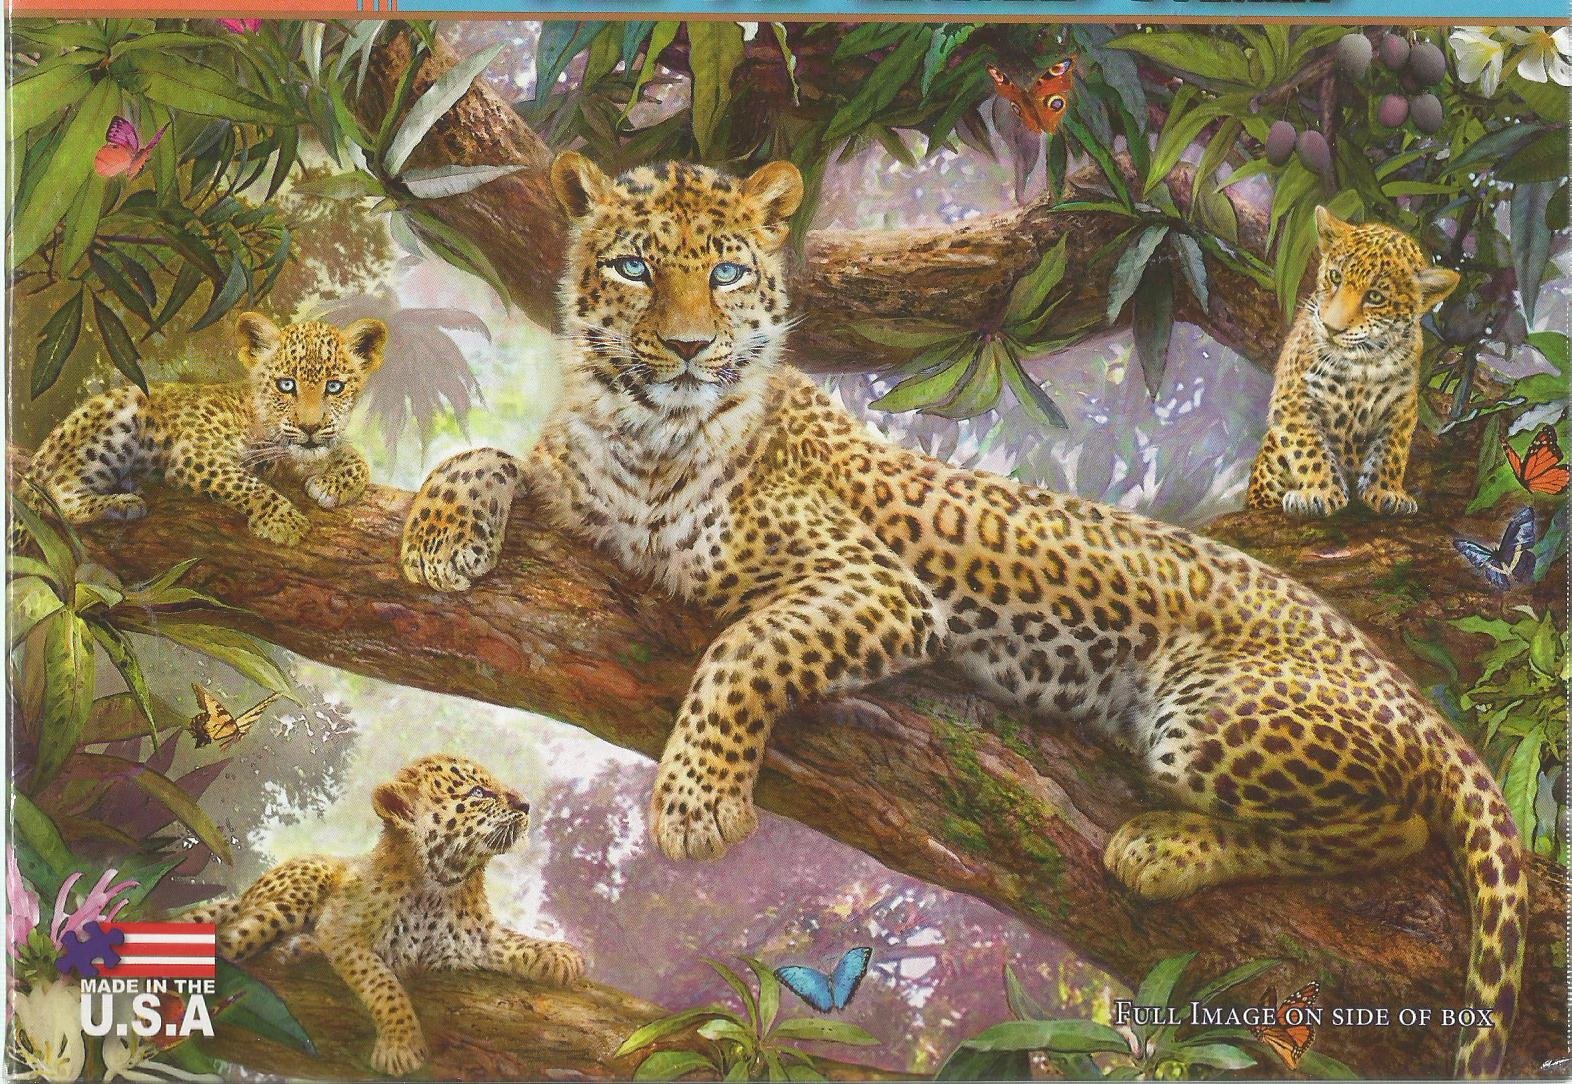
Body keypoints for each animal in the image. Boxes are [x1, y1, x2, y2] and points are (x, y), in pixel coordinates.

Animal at [17, 312, 386, 546]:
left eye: (334, 387)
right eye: (286, 385)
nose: (310, 426)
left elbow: (351, 456)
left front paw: (331, 484)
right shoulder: (196, 453)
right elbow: (247, 483)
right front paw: (284, 522)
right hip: (115, 422)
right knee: (60, 492)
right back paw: (121, 503)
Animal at [181, 754, 585, 1076]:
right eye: (477, 793)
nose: (526, 804)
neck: (441, 884)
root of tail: (249, 889)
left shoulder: (471, 940)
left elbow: (511, 940)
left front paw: (562, 955)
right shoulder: (344, 930)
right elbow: (383, 983)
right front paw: (401, 1045)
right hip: (297, 891)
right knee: (238, 932)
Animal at [1247, 206, 1460, 518]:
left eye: (1375, 297)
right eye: (1335, 277)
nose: (1330, 327)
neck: (1361, 365)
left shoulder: (1401, 407)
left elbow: (1390, 451)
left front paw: (1387, 491)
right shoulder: (1294, 399)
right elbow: (1308, 449)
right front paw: (1319, 492)